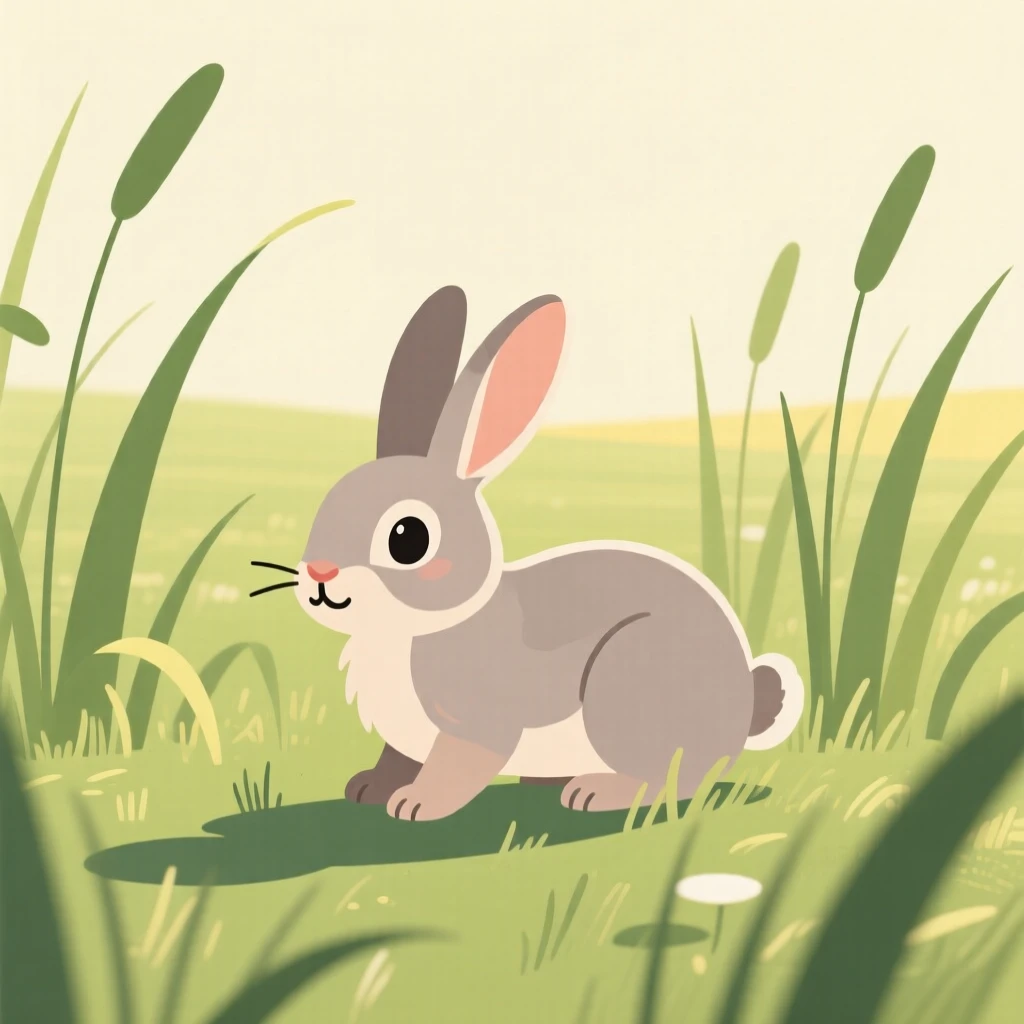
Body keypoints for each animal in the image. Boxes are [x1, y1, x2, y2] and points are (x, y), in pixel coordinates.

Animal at [295, 285, 804, 821]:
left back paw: (596, 793)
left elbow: (462, 763)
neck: (410, 627)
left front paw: (416, 804)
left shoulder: (478, 720)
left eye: (407, 538)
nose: (320, 574)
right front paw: (370, 787)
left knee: (676, 778)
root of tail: (744, 701)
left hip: (624, 690)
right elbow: (397, 757)